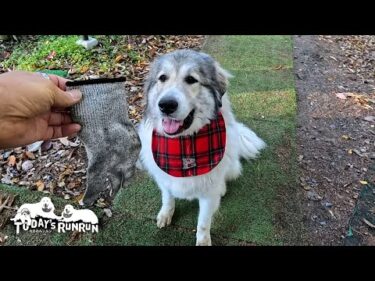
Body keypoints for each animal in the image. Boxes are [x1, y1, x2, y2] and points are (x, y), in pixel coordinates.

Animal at [139, 49, 268, 244]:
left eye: (191, 79)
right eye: (162, 78)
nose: (166, 105)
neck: (185, 143)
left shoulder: (208, 196)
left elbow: (203, 223)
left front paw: (203, 241)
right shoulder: (164, 179)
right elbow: (167, 199)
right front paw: (165, 214)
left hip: (231, 168)